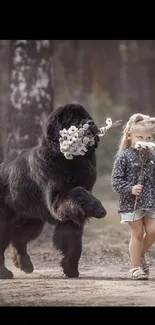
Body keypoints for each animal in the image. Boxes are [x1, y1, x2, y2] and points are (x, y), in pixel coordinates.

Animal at [0, 104, 106, 278]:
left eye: (87, 117)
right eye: (74, 120)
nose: (90, 123)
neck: (71, 161)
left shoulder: (70, 219)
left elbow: (74, 243)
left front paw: (71, 269)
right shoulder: (56, 197)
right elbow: (77, 191)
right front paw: (98, 207)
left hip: (33, 222)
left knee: (18, 239)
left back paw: (24, 264)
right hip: (7, 221)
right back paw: (5, 272)